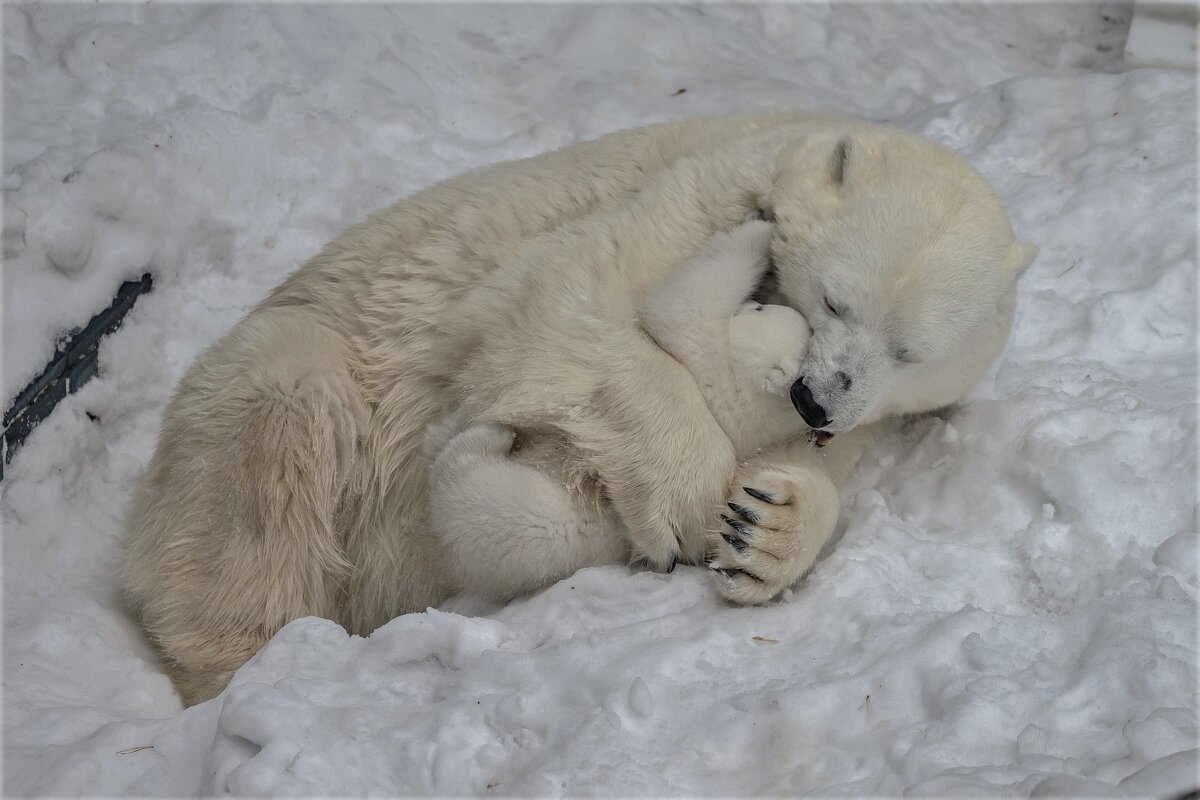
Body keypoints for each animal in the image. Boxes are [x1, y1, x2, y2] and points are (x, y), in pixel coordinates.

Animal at [427, 219, 811, 599]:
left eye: (759, 309)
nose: (754, 304)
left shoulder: (714, 364)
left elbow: (677, 306)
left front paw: (756, 231)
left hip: (532, 512)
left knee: (487, 507)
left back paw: (484, 436)